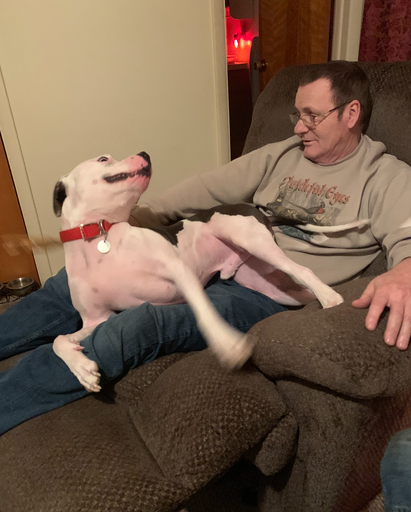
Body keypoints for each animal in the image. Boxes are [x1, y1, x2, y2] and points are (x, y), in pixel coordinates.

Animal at [52, 152, 366, 392]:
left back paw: (329, 297)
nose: (144, 153)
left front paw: (227, 344)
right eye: (103, 159)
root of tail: (259, 211)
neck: (100, 238)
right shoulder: (96, 319)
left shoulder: (180, 272)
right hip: (266, 284)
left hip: (253, 242)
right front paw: (82, 369)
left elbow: (204, 313)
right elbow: (58, 341)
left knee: (303, 270)